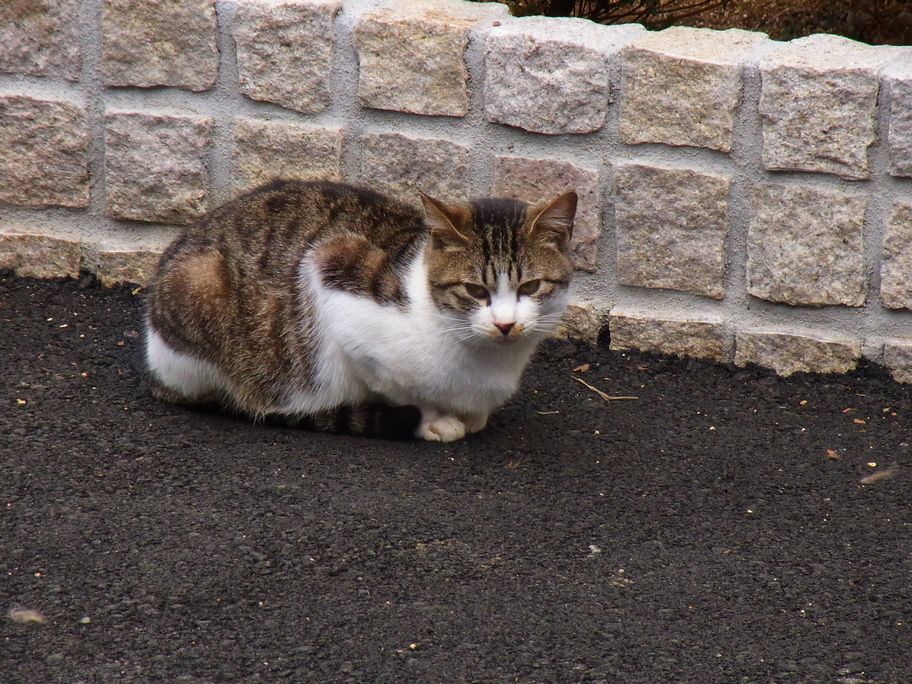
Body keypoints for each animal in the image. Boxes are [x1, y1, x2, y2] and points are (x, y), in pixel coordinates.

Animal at [148, 179, 576, 440]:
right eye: (475, 290)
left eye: (530, 287)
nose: (506, 325)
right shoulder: (333, 269)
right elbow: (396, 389)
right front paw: (434, 419)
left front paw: (469, 416)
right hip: (200, 283)